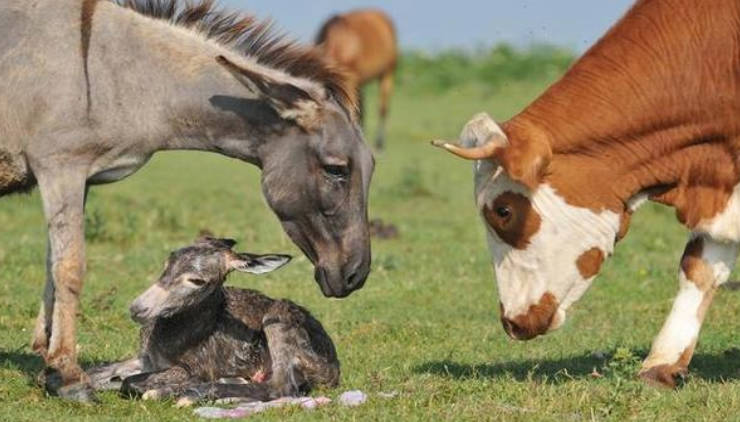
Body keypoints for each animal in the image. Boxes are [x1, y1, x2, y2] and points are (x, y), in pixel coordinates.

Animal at [89, 236, 342, 404]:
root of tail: (333, 367)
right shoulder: (144, 359)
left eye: (198, 280)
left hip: (278, 320)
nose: (138, 308)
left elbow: (129, 383)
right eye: (167, 263)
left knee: (281, 388)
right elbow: (97, 372)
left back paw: (186, 395)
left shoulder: (192, 368)